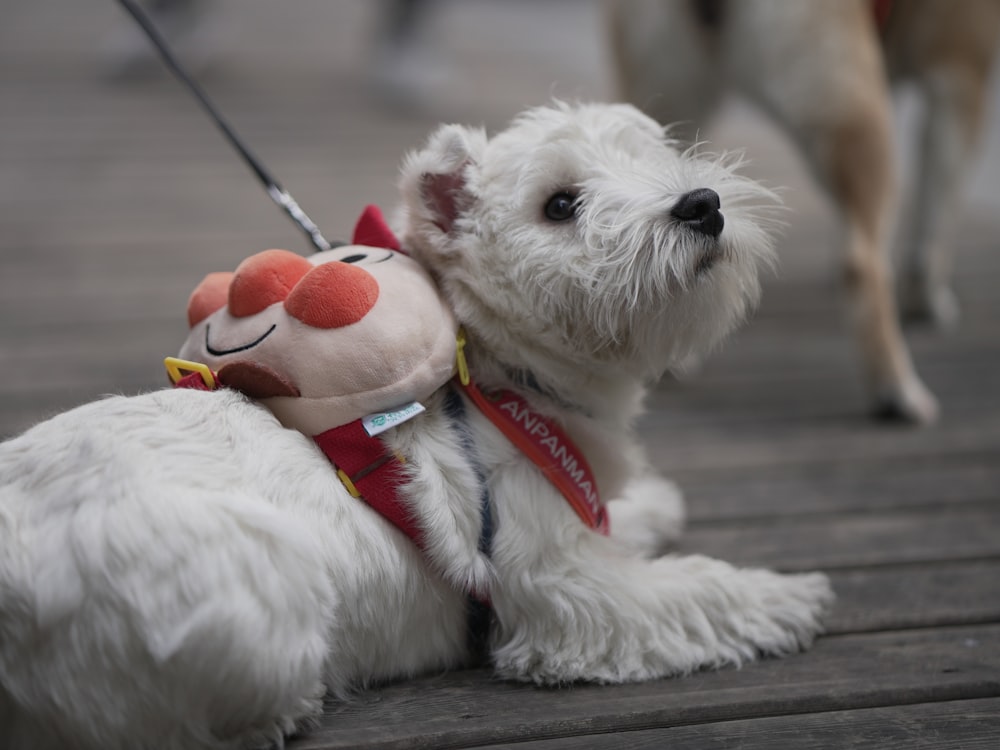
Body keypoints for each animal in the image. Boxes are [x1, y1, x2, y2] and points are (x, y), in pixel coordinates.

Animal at [0, 101, 828, 750]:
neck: (494, 375)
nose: (701, 205)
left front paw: (651, 505)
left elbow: (617, 520)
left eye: (652, 152)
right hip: (257, 597)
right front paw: (788, 598)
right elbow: (692, 592)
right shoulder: (565, 596)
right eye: (560, 204)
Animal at [604, 0, 1000, 424]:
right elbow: (936, 217)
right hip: (849, 101)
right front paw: (928, 301)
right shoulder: (961, 77)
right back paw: (898, 390)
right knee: (863, 262)